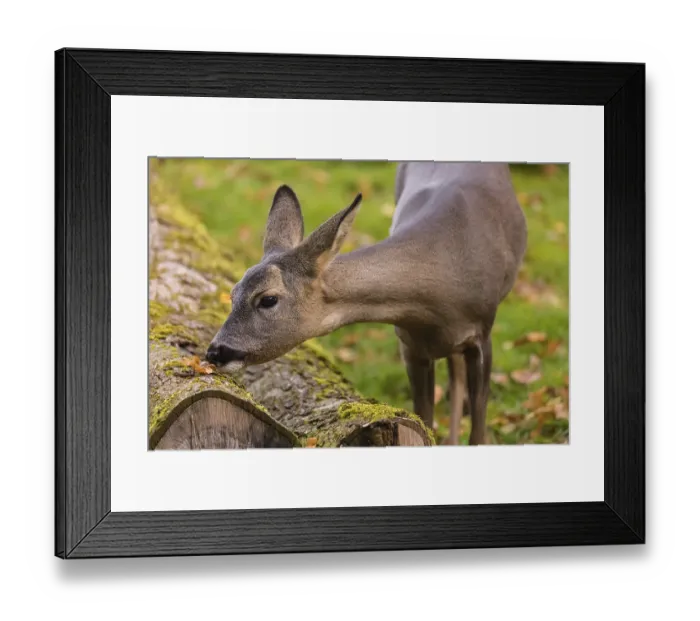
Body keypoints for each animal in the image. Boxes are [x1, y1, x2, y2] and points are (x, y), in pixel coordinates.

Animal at [206, 162, 527, 445]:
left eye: (268, 299)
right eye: (233, 293)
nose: (215, 351)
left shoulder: (482, 333)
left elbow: (479, 431)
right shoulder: (410, 344)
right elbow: (425, 418)